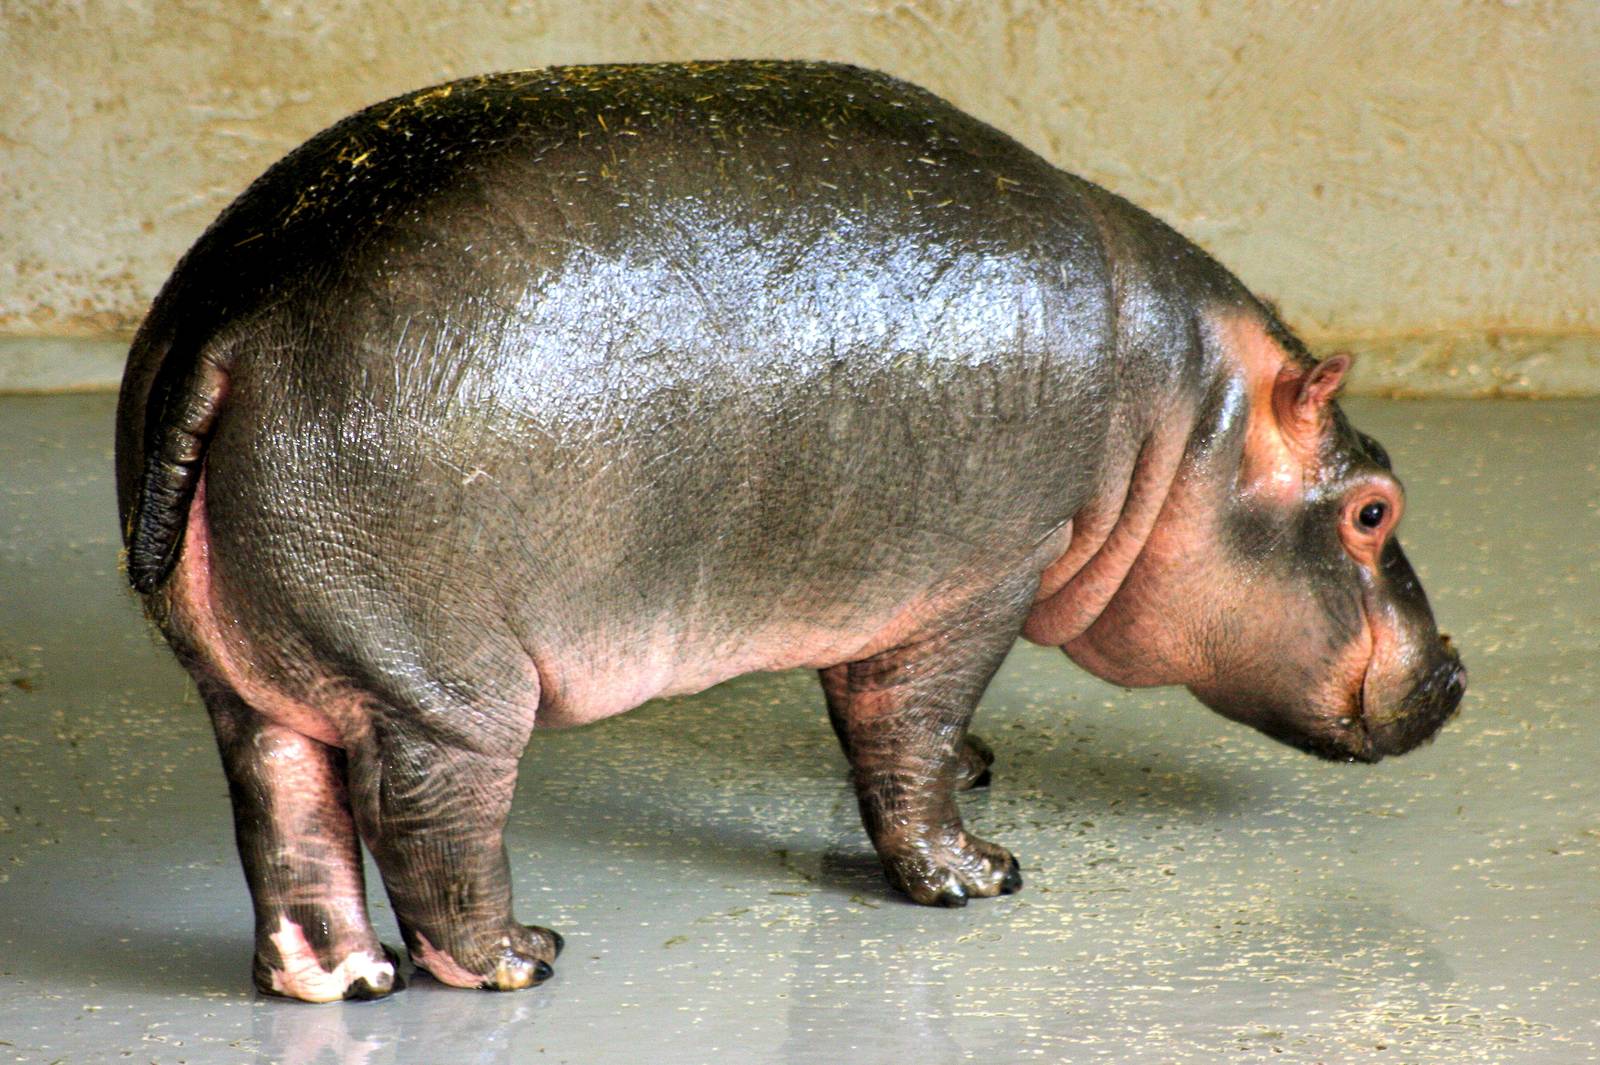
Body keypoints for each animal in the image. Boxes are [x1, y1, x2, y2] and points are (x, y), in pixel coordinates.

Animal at [115, 61, 1464, 1002]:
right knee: (425, 823)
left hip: (268, 669)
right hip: (446, 689)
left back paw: (346, 981)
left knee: (287, 815)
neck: (1180, 420)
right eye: (1372, 507)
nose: (1453, 676)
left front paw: (980, 775)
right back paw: (517, 957)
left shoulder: (877, 572)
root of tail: (238, 308)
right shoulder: (982, 574)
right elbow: (908, 731)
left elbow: (880, 711)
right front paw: (975, 874)